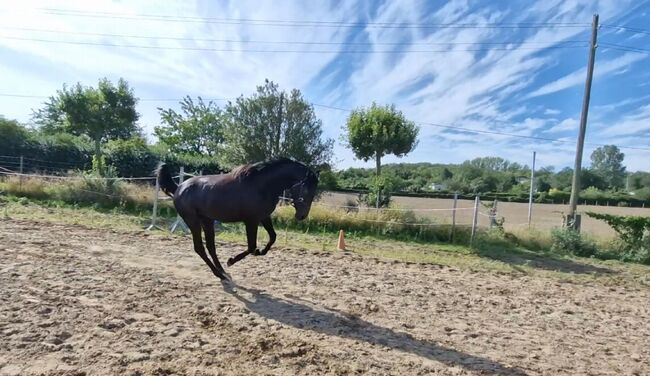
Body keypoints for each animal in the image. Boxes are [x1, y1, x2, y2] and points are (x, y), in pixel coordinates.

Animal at [157, 158, 318, 282]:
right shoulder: (251, 220)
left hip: (207, 221)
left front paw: (260, 252)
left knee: (211, 247)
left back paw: (223, 272)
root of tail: (179, 187)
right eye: (306, 189)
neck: (262, 185)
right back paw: (220, 274)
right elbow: (251, 246)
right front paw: (232, 260)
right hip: (193, 221)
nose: (302, 216)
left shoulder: (263, 217)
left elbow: (273, 237)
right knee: (200, 248)